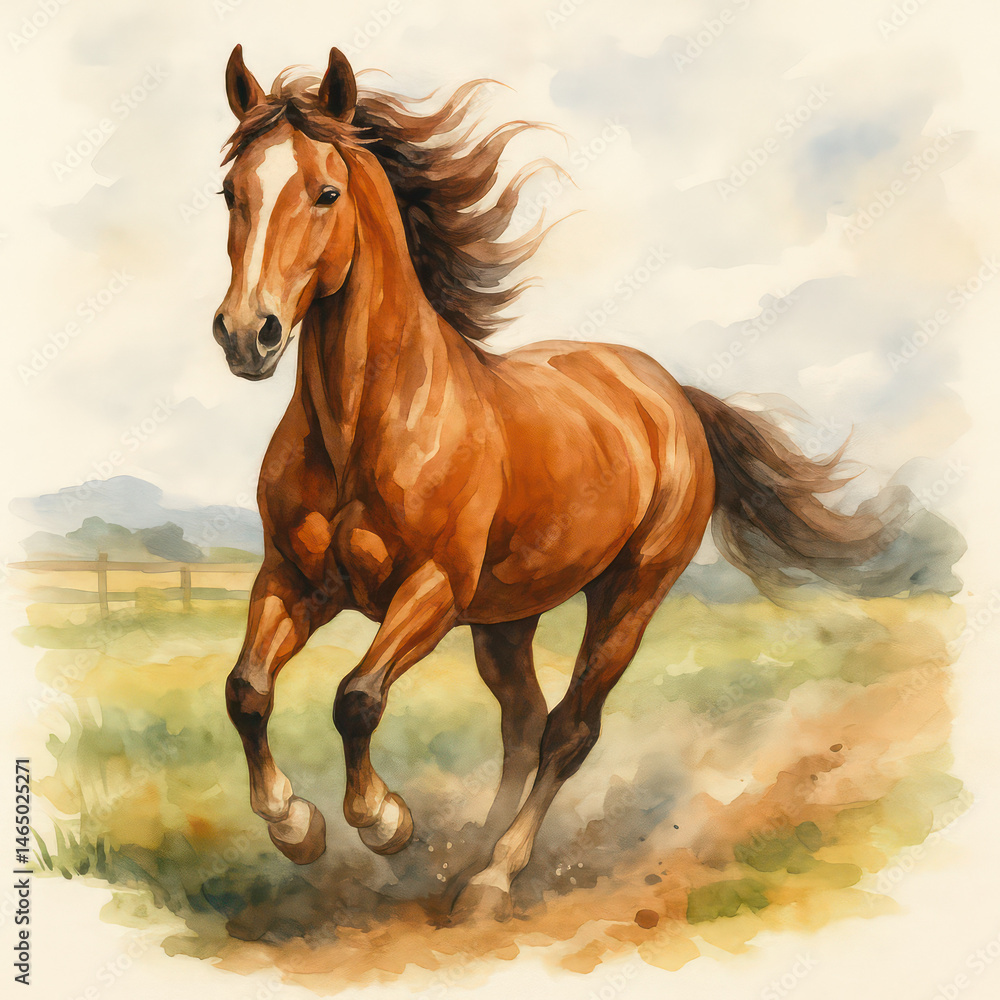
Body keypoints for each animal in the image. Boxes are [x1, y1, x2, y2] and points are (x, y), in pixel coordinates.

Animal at [214, 45, 904, 921]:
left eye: (325, 193)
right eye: (231, 193)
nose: (247, 334)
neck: (365, 426)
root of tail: (672, 395)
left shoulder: (431, 590)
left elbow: (356, 697)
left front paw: (384, 821)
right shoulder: (293, 579)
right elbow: (246, 690)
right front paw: (295, 826)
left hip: (627, 597)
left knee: (568, 730)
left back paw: (494, 877)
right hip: (507, 620)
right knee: (524, 722)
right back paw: (465, 866)